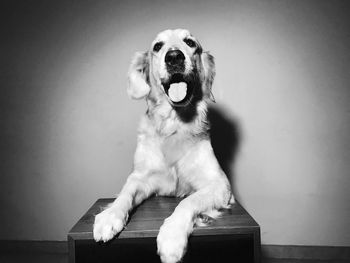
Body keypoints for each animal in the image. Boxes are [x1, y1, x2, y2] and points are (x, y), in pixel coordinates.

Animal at [94, 28, 234, 263]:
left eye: (190, 42)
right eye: (158, 46)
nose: (174, 57)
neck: (174, 125)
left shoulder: (220, 184)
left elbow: (188, 201)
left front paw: (171, 237)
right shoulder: (142, 178)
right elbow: (125, 194)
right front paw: (109, 216)